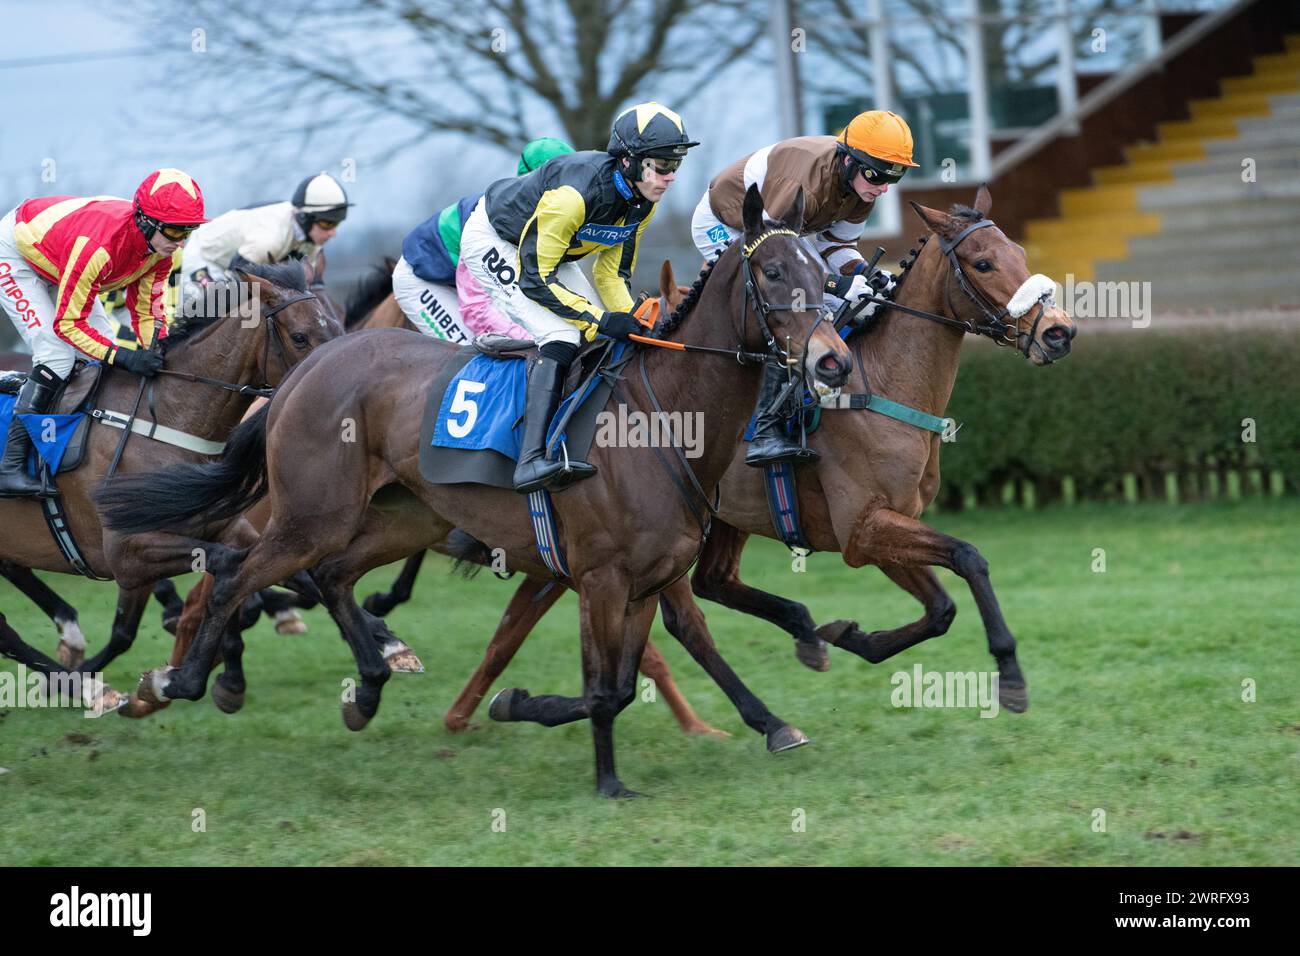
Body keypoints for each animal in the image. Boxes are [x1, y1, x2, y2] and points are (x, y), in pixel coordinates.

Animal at [98, 183, 852, 796]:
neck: (661, 416)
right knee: (233, 579)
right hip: (309, 516)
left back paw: (364, 685)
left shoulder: (641, 580)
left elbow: (621, 678)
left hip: (397, 518)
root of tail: (295, 377)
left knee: (330, 575)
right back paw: (180, 681)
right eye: (774, 271)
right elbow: (605, 685)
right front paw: (599, 773)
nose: (833, 361)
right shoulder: (600, 578)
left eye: (823, 272)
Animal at [436, 191, 1076, 738]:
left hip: (715, 522)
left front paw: (848, 635)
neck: (883, 385)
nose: (1060, 332)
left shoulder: (882, 527)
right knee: (671, 619)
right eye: (983, 263)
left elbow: (940, 607)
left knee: (707, 587)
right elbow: (969, 559)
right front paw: (1010, 676)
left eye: (1021, 254)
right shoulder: (864, 529)